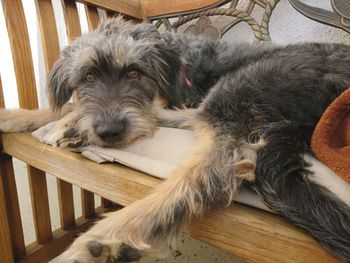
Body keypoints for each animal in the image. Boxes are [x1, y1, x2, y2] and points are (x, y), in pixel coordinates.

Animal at [0, 17, 350, 262]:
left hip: (243, 86)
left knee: (202, 169)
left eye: (135, 73)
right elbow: (70, 104)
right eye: (88, 76)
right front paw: (16, 116)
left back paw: (108, 237)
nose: (109, 131)